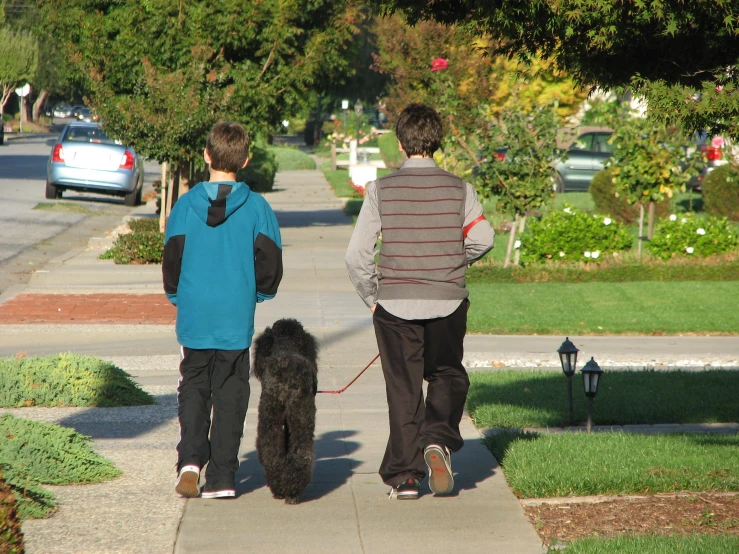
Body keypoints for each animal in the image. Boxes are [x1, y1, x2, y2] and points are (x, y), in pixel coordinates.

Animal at [253, 316, 320, 502]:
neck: (286, 345)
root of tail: (284, 369)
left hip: (271, 415)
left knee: (271, 452)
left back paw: (279, 486)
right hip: (300, 414)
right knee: (300, 452)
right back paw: (292, 489)